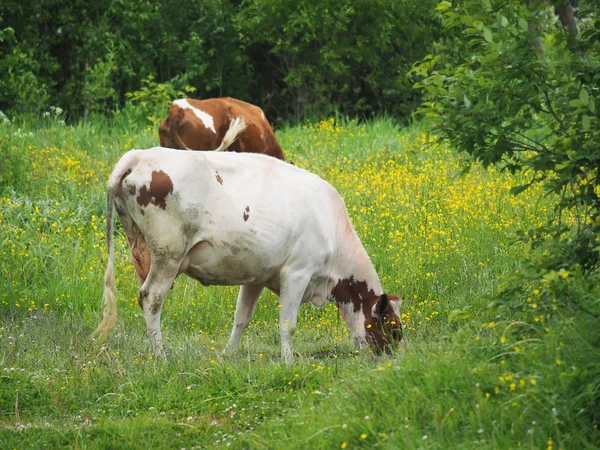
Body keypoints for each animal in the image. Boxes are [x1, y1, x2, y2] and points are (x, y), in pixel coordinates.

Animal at [94, 144, 404, 362]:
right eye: (393, 330)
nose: (392, 361)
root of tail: (138, 156)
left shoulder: (256, 277)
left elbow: (241, 317)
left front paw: (228, 354)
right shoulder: (298, 272)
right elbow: (288, 324)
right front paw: (289, 361)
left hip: (143, 254)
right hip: (168, 256)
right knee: (151, 298)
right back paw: (161, 355)